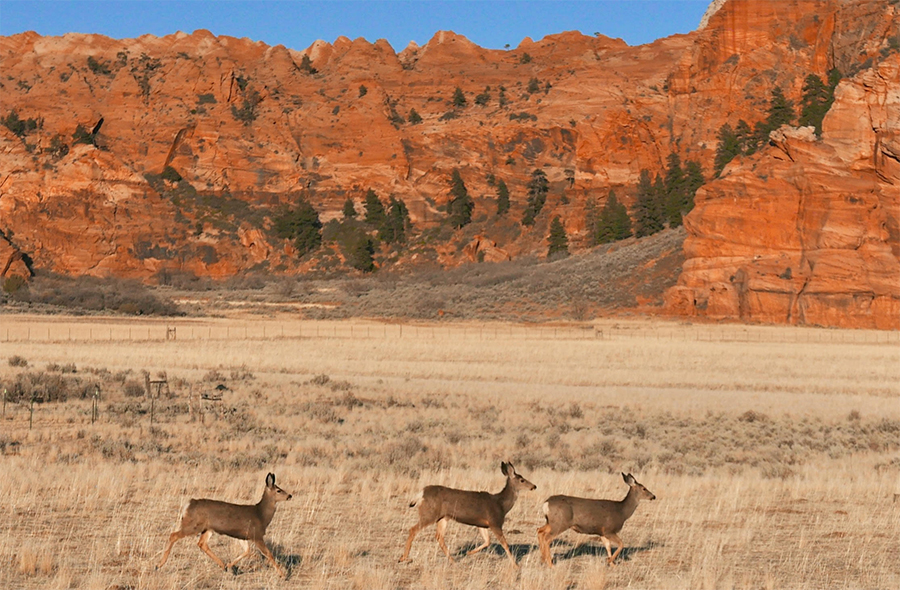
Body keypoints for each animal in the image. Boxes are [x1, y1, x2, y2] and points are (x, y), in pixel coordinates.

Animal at [157, 473, 292, 576]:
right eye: (279, 490)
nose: (290, 496)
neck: (261, 515)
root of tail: (188, 504)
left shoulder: (242, 535)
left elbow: (247, 551)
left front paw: (230, 566)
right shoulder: (256, 534)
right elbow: (269, 554)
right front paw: (283, 575)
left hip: (207, 528)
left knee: (202, 543)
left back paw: (223, 565)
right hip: (193, 525)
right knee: (173, 535)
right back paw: (158, 565)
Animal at [399, 461, 536, 567]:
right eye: (522, 480)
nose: (534, 486)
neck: (501, 505)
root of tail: (421, 493)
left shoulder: (482, 524)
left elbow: (487, 541)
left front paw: (469, 553)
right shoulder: (495, 522)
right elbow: (505, 544)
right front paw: (516, 565)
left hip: (443, 517)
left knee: (439, 536)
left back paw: (453, 561)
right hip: (429, 514)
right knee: (413, 529)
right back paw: (404, 558)